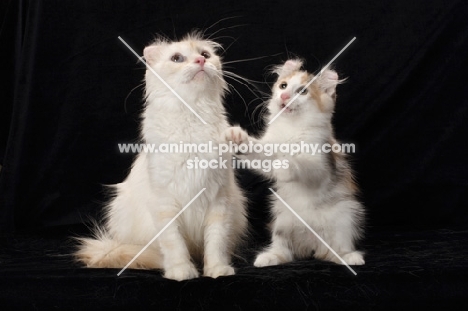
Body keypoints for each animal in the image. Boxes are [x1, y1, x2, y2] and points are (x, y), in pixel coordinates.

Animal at [74, 32, 249, 282]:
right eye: (177, 58)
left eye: (205, 54)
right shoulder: (165, 204)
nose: (200, 61)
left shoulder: (219, 202)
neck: (192, 116)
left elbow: (215, 244)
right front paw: (182, 272)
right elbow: (175, 245)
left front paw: (217, 270)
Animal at [226, 59, 366, 270]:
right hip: (281, 219)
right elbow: (259, 153)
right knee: (285, 251)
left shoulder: (320, 163)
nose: (284, 96)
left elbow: (302, 164)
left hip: (345, 216)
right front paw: (237, 138)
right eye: (283, 86)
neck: (292, 126)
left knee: (337, 247)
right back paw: (268, 258)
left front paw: (286, 166)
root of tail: (312, 243)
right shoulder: (268, 149)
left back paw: (348, 257)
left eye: (302, 91)